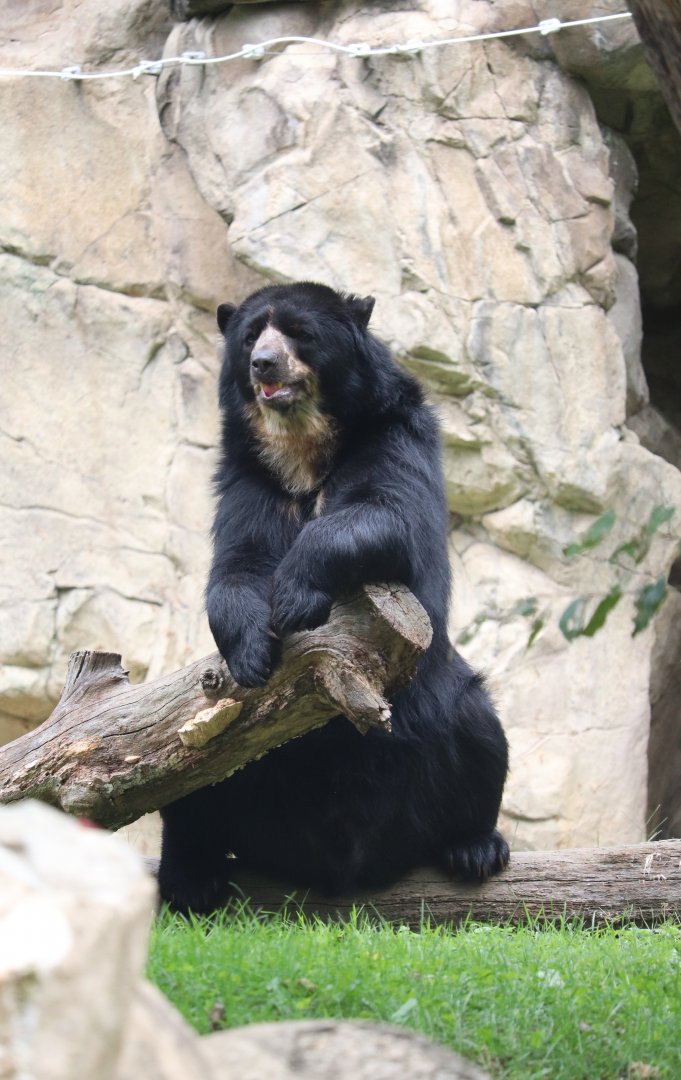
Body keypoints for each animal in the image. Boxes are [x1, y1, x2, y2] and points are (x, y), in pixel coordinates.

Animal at [158, 282, 509, 914]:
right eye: (252, 336)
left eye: (299, 333)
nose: (263, 365)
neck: (301, 444)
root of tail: (344, 868)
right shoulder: (248, 475)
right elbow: (237, 562)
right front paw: (252, 651)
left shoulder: (395, 435)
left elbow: (386, 513)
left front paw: (295, 595)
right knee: (186, 778)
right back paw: (190, 875)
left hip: (429, 720)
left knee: (479, 730)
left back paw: (474, 848)